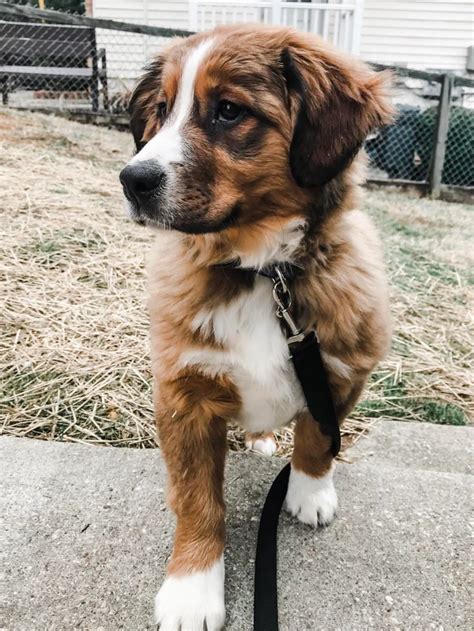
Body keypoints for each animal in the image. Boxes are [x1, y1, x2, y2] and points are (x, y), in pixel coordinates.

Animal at [121, 24, 392, 631]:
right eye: (162, 110)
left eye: (228, 111)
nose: (131, 180)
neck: (263, 271)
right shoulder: (185, 395)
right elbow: (198, 501)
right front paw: (192, 588)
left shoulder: (339, 370)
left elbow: (318, 437)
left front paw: (309, 493)